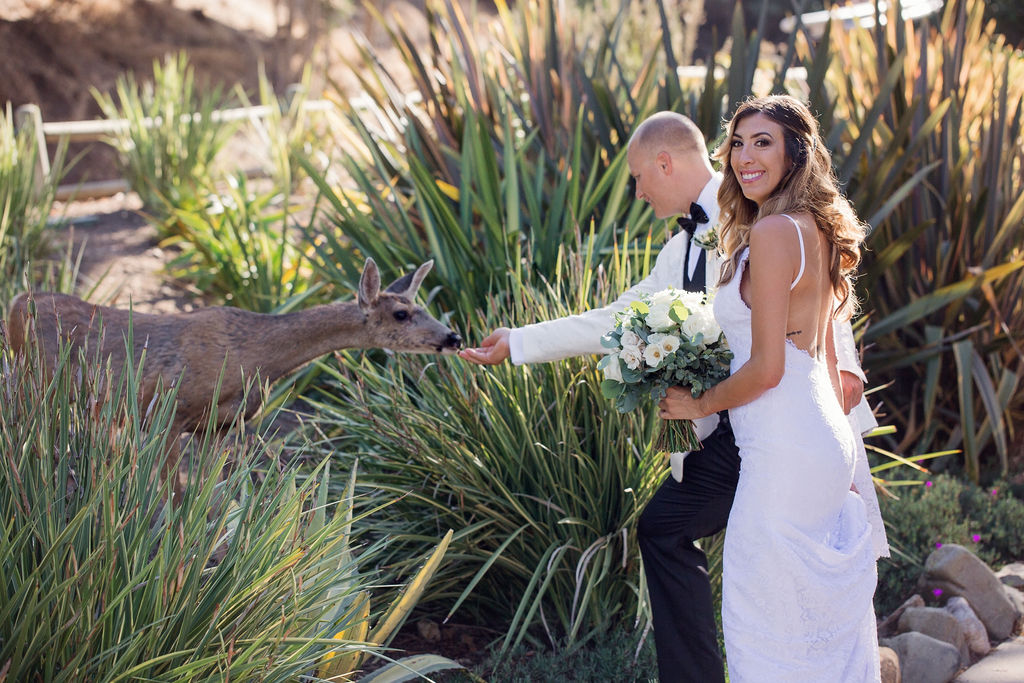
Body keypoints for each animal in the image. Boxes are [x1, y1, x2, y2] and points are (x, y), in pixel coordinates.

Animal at [6, 255, 462, 491]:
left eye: (423, 306)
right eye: (401, 313)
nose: (454, 337)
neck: (254, 357)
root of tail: (15, 301)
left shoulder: (221, 426)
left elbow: (212, 497)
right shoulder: (167, 411)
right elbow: (175, 495)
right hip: (31, 383)